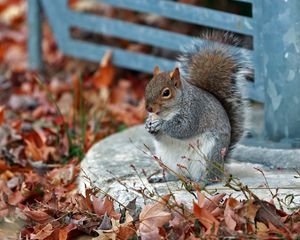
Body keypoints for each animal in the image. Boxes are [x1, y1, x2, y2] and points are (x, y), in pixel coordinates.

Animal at [144, 31, 250, 185]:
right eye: (147, 86)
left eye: (166, 93)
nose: (148, 108)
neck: (167, 112)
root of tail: (221, 165)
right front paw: (148, 124)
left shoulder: (195, 111)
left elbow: (184, 128)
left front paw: (161, 124)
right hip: (167, 160)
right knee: (174, 175)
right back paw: (161, 178)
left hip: (210, 154)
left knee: (211, 177)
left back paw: (201, 182)